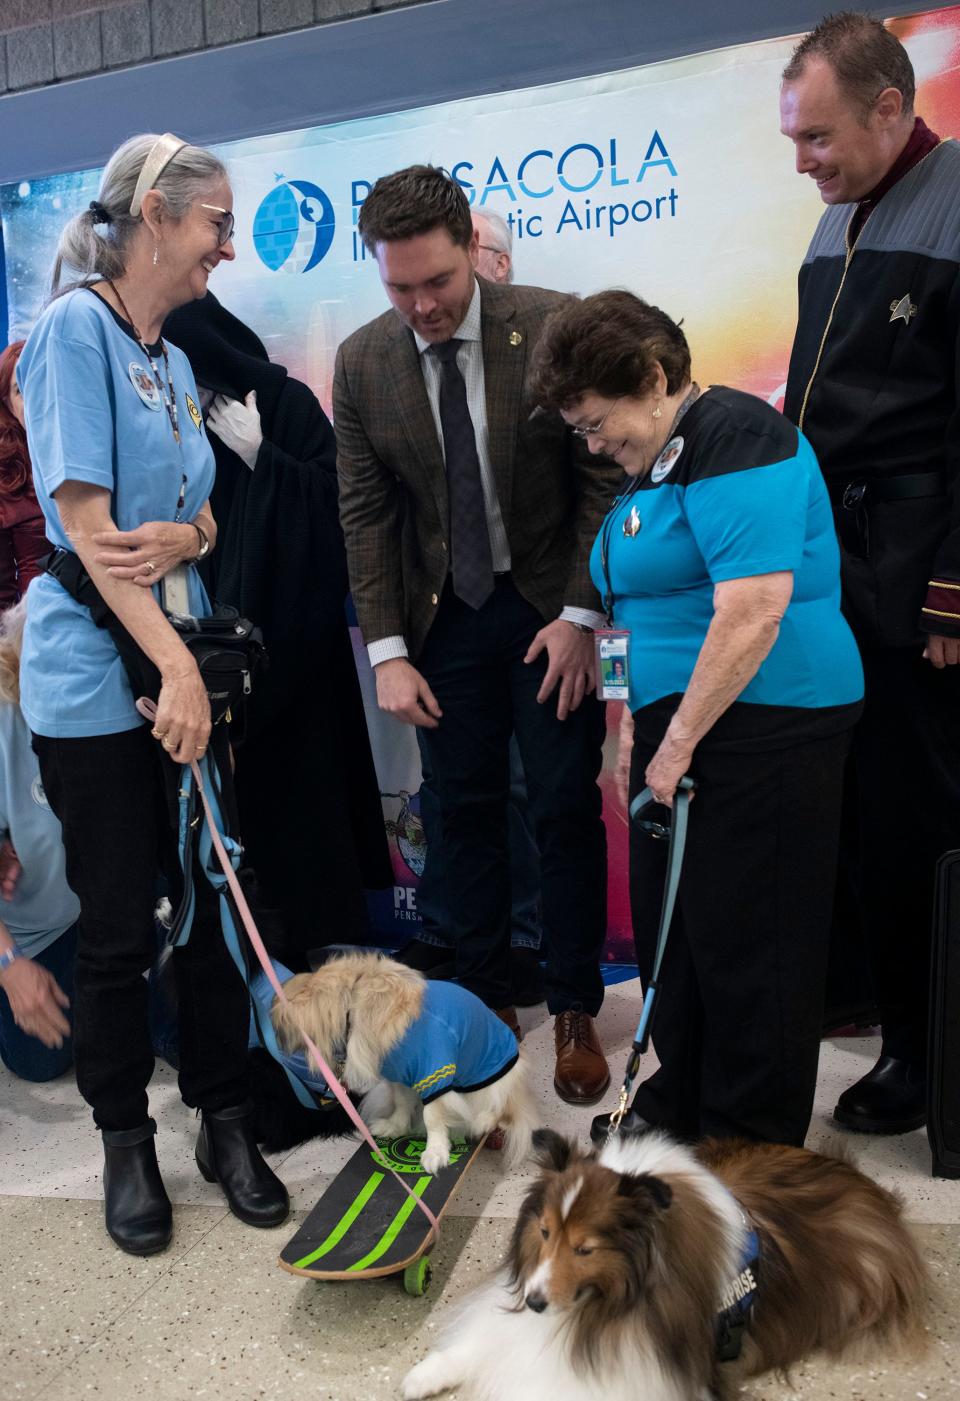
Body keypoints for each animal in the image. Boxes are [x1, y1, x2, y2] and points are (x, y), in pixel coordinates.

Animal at [269, 952, 538, 1171]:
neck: (354, 1004)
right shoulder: (400, 1076)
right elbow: (400, 1104)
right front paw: (395, 1127)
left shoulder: (434, 1072)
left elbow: (433, 1117)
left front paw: (435, 1153)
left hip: (491, 1084)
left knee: (500, 1108)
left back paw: (482, 1121)